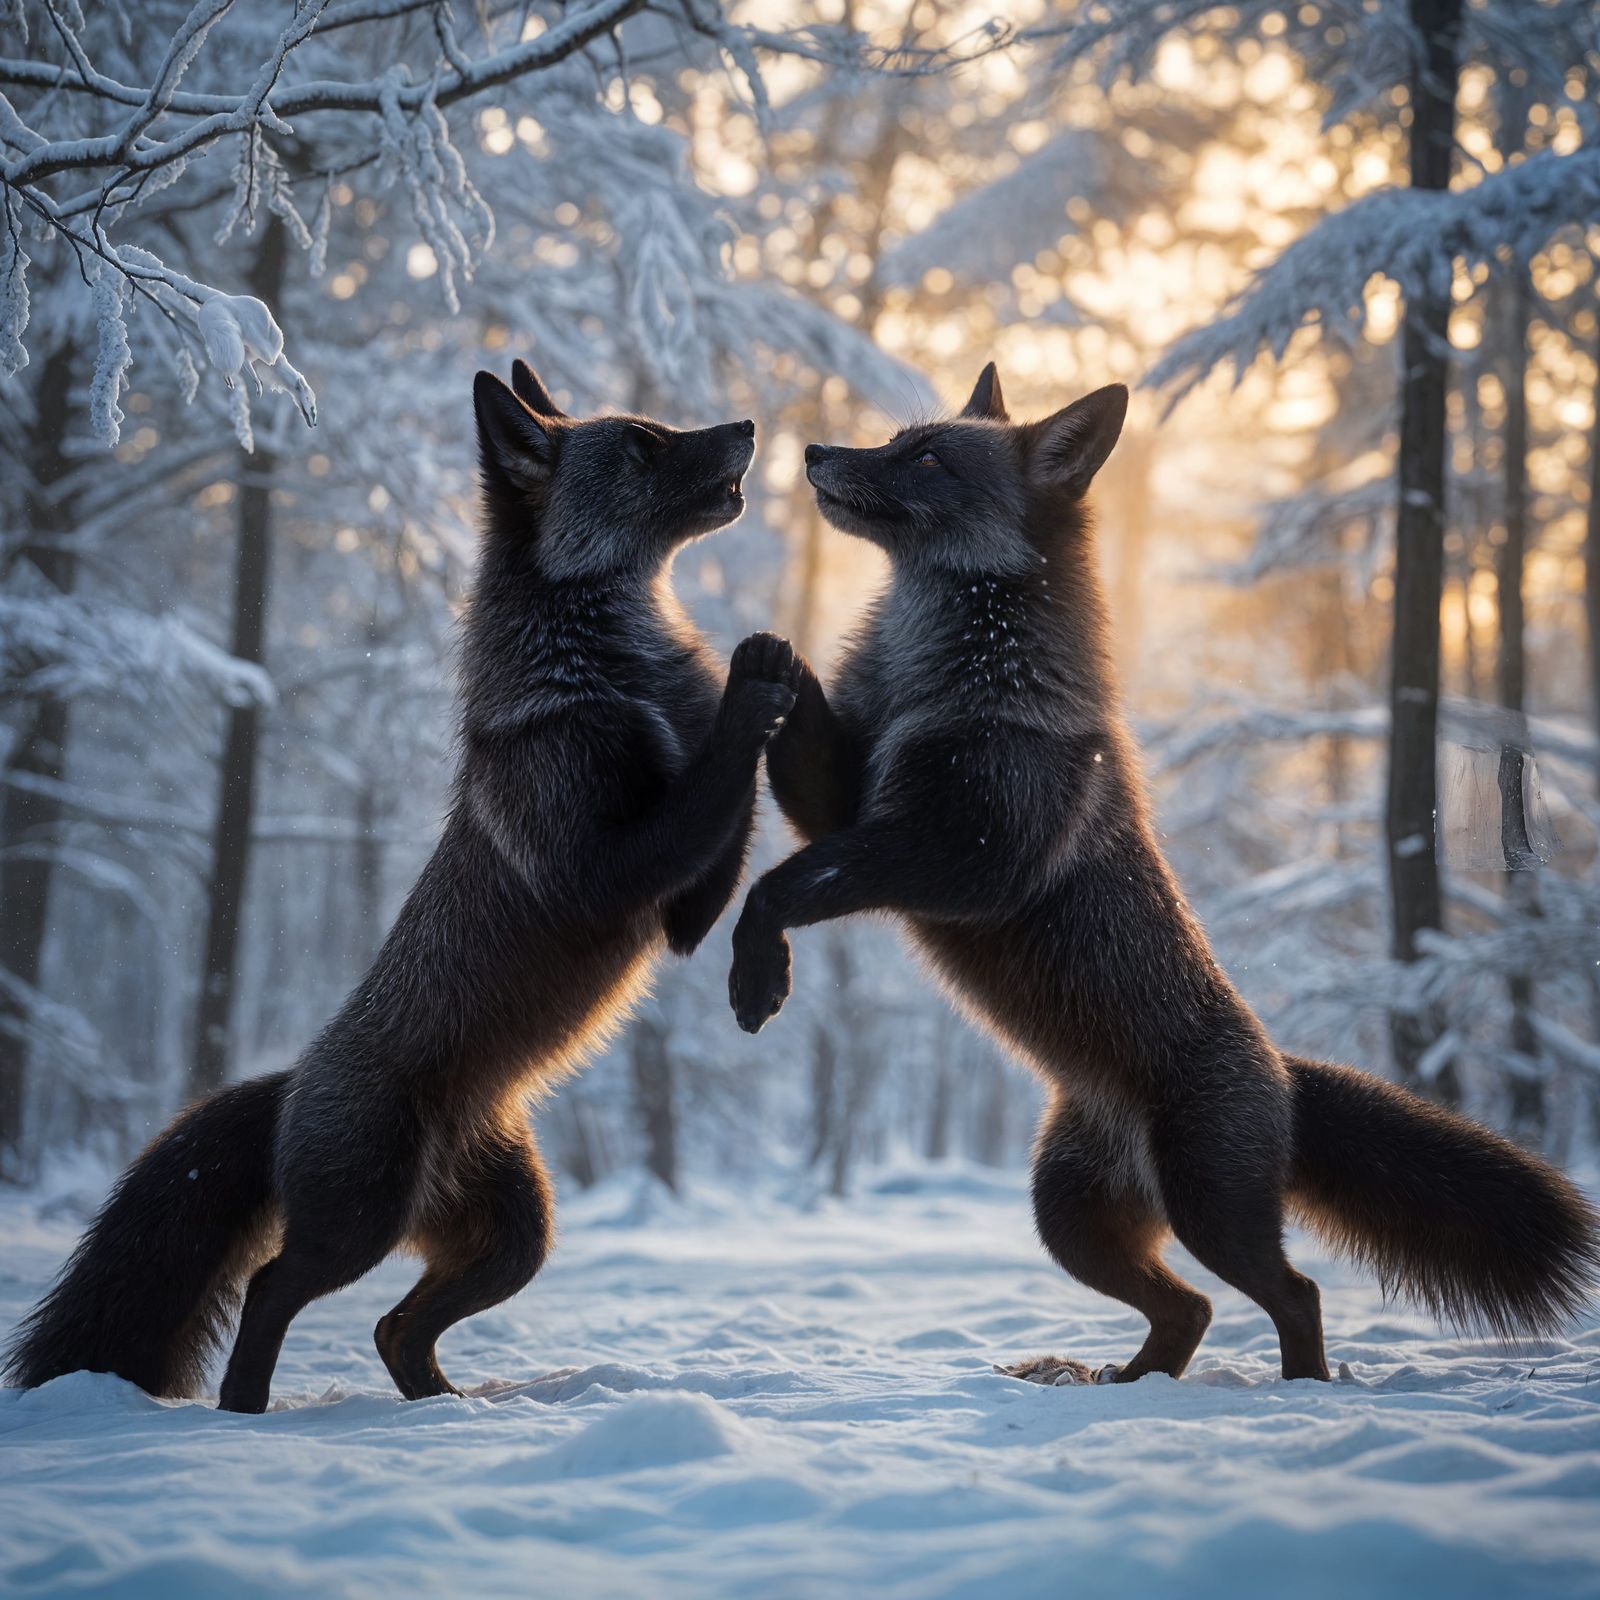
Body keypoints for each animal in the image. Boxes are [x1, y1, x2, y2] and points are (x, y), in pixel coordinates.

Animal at [5, 360, 801, 1413]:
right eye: (640, 443)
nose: (748, 425)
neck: (605, 676)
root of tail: (292, 1083)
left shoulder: (679, 913)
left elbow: (730, 831)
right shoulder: (600, 864)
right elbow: (715, 770)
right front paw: (752, 684)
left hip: (516, 1234)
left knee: (391, 1329)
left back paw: (442, 1409)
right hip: (362, 1223)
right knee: (272, 1288)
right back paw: (247, 1415)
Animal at [732, 362, 1600, 1384]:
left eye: (931, 457)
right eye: (894, 441)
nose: (815, 451)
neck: (951, 677)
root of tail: (1281, 1071)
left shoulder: (970, 853)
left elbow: (784, 886)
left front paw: (757, 976)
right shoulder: (851, 802)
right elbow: (807, 799)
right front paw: (765, 655)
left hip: (1208, 1212)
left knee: (1292, 1295)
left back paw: (1298, 1392)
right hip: (1071, 1220)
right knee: (1190, 1311)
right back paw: (1127, 1382)